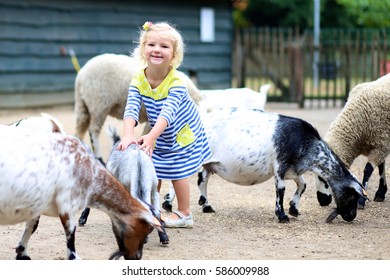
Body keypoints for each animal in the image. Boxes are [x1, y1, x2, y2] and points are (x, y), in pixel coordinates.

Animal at [0, 124, 161, 260]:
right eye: (145, 230)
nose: (137, 257)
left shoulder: (37, 206)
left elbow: (32, 227)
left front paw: (22, 252)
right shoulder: (67, 206)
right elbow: (71, 238)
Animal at [163, 107, 368, 223]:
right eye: (352, 196)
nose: (351, 217)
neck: (307, 144)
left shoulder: (293, 170)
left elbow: (302, 185)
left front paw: (294, 209)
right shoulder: (280, 167)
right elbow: (281, 191)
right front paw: (282, 216)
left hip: (209, 163)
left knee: (202, 179)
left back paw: (206, 205)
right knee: (185, 177)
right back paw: (167, 204)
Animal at [316, 73, 390, 209]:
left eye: (324, 178)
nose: (322, 201)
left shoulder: (381, 143)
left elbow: (368, 170)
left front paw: (361, 200)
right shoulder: (380, 143)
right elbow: (381, 166)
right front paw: (381, 193)